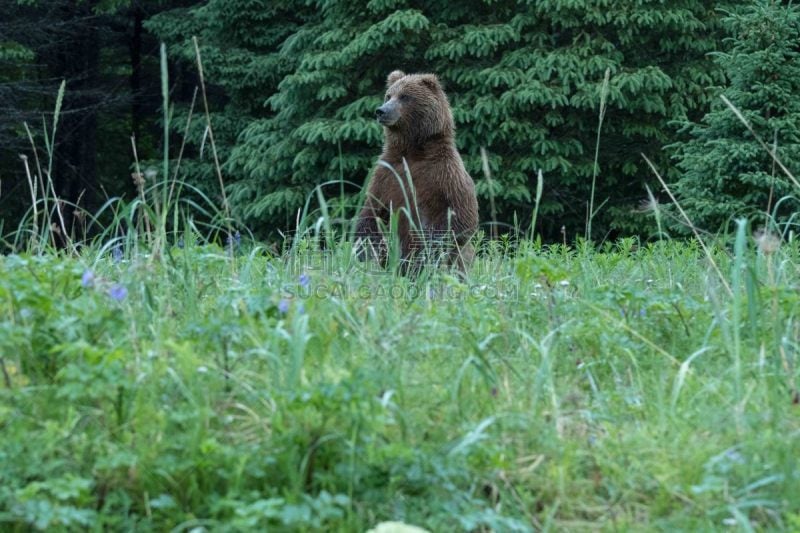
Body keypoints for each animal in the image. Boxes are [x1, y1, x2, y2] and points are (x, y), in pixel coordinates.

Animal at [354, 69, 476, 274]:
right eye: (389, 95)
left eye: (404, 96)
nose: (381, 110)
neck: (412, 150)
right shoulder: (386, 173)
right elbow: (372, 210)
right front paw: (366, 251)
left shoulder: (444, 173)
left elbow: (461, 217)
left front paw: (421, 254)